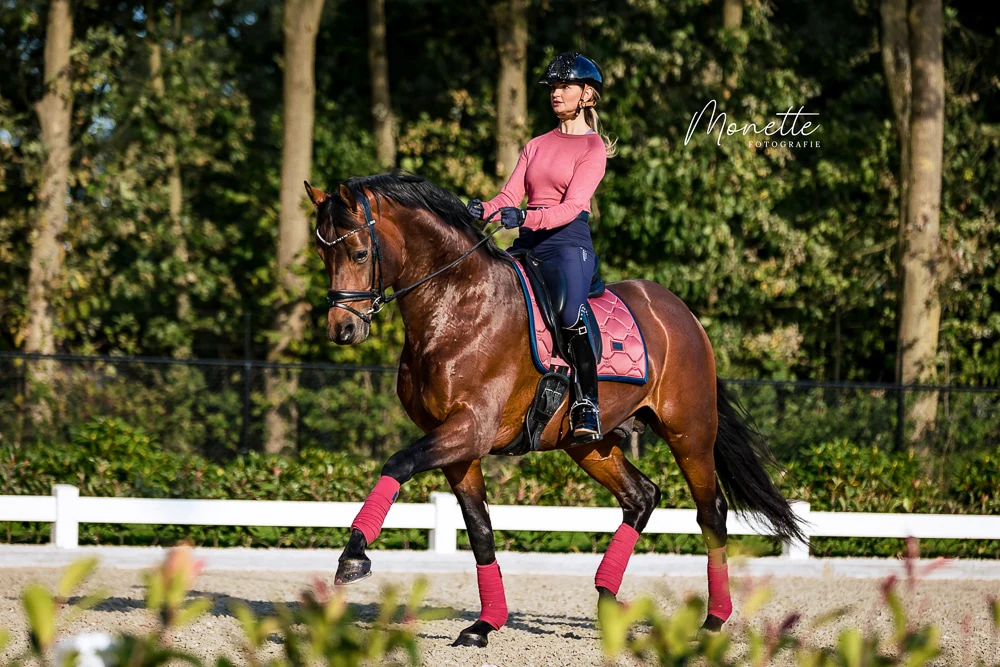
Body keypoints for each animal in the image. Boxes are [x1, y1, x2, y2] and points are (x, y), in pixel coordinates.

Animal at [304, 171, 804, 648]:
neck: (456, 306)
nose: (342, 329)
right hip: (588, 445)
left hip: (689, 433)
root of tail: (682, 314)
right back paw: (608, 603)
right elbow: (480, 529)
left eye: (360, 254)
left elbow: (398, 462)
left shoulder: (470, 429)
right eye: (323, 256)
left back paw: (714, 619)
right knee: (641, 497)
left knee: (711, 512)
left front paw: (353, 555)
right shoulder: (458, 446)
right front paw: (485, 625)